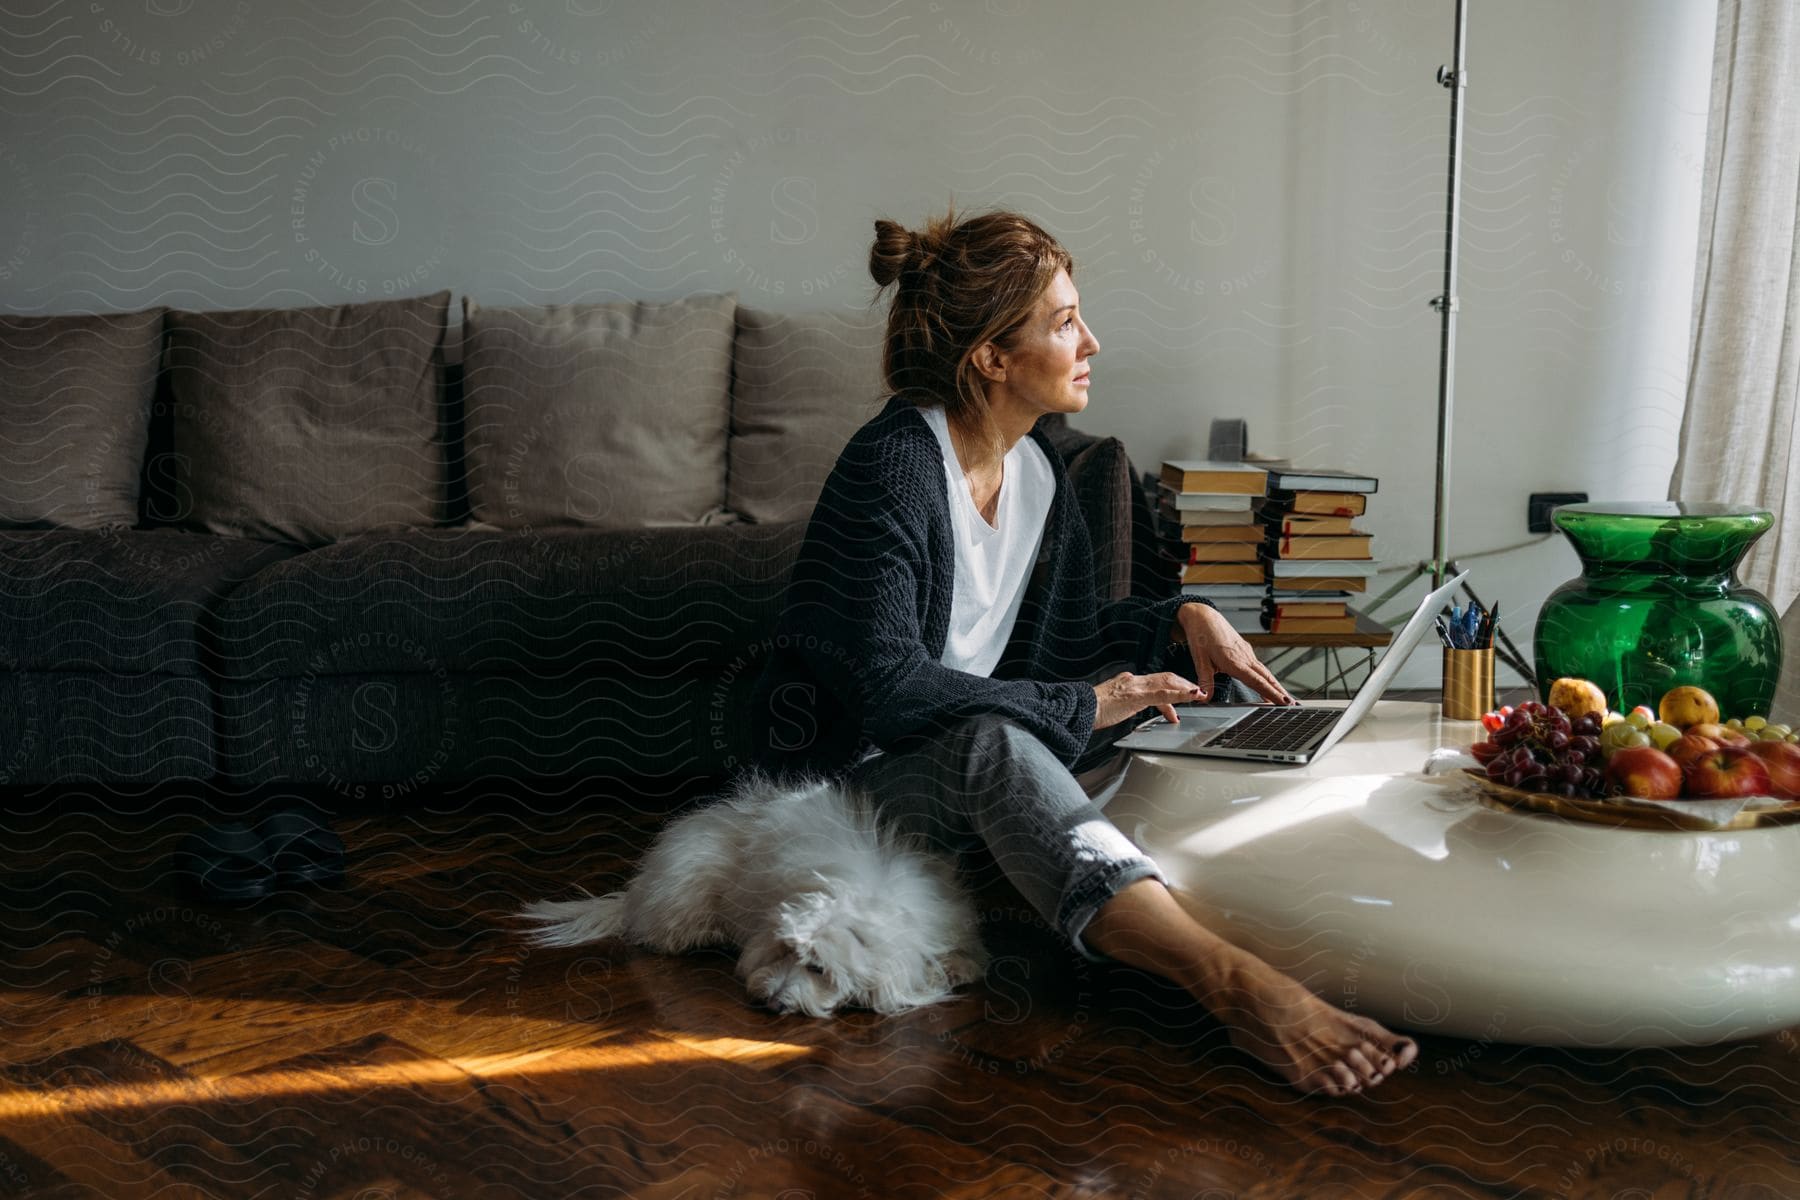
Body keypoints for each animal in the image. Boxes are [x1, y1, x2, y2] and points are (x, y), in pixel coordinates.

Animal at [514, 773, 993, 1021]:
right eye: (782, 951)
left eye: (818, 968)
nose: (770, 1000)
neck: (857, 901)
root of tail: (637, 890)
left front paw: (956, 968)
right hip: (687, 892)